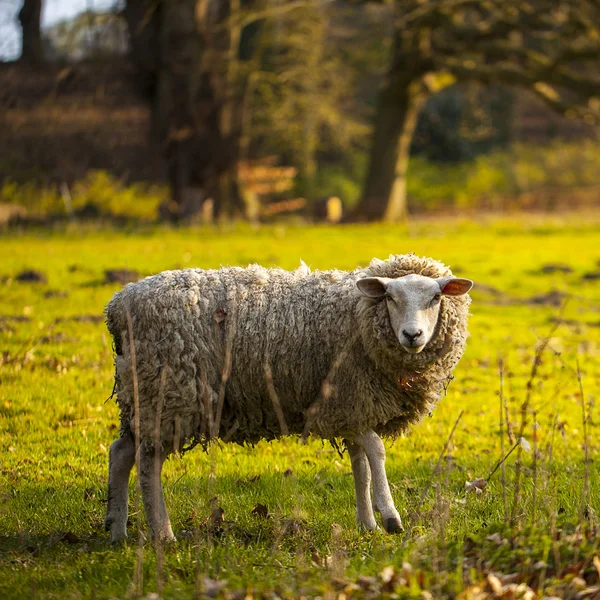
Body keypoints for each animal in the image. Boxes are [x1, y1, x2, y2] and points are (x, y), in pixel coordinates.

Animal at [104, 253, 474, 544]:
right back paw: (162, 533)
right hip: (168, 393)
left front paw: (367, 523)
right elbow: (376, 451)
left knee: (121, 452)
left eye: (436, 298)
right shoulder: (341, 400)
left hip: (141, 394)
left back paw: (116, 530)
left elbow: (361, 463)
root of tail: (118, 304)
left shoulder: (352, 407)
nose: (412, 335)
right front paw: (389, 516)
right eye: (390, 297)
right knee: (148, 462)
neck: (356, 313)